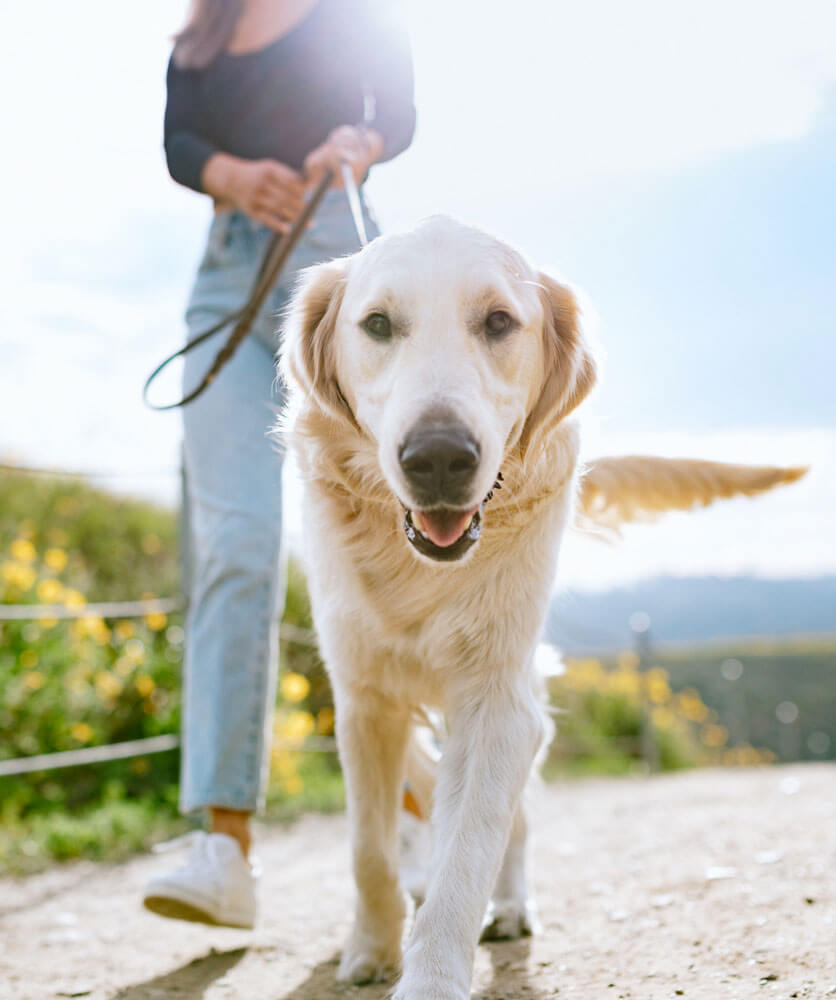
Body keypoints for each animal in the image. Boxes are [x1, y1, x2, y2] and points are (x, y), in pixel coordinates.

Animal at [280, 217, 804, 1000]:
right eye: (377, 324)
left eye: (499, 322)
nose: (439, 458)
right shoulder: (364, 699)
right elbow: (367, 847)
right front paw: (371, 947)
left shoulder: (499, 699)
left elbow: (468, 852)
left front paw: (431, 974)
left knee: (513, 821)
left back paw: (510, 905)